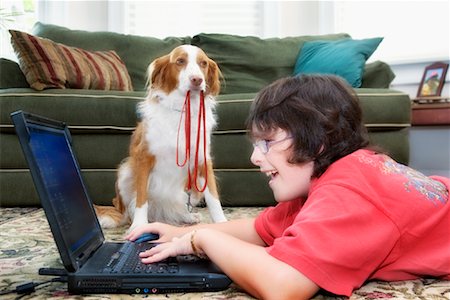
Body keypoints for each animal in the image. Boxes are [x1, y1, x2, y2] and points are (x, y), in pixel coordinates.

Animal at [96, 45, 227, 232]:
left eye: (203, 64)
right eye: (180, 61)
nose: (197, 80)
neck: (183, 110)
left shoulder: (202, 160)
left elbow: (213, 197)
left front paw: (222, 223)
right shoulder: (144, 158)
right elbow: (141, 198)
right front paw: (139, 225)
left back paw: (187, 216)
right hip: (125, 172)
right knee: (128, 210)